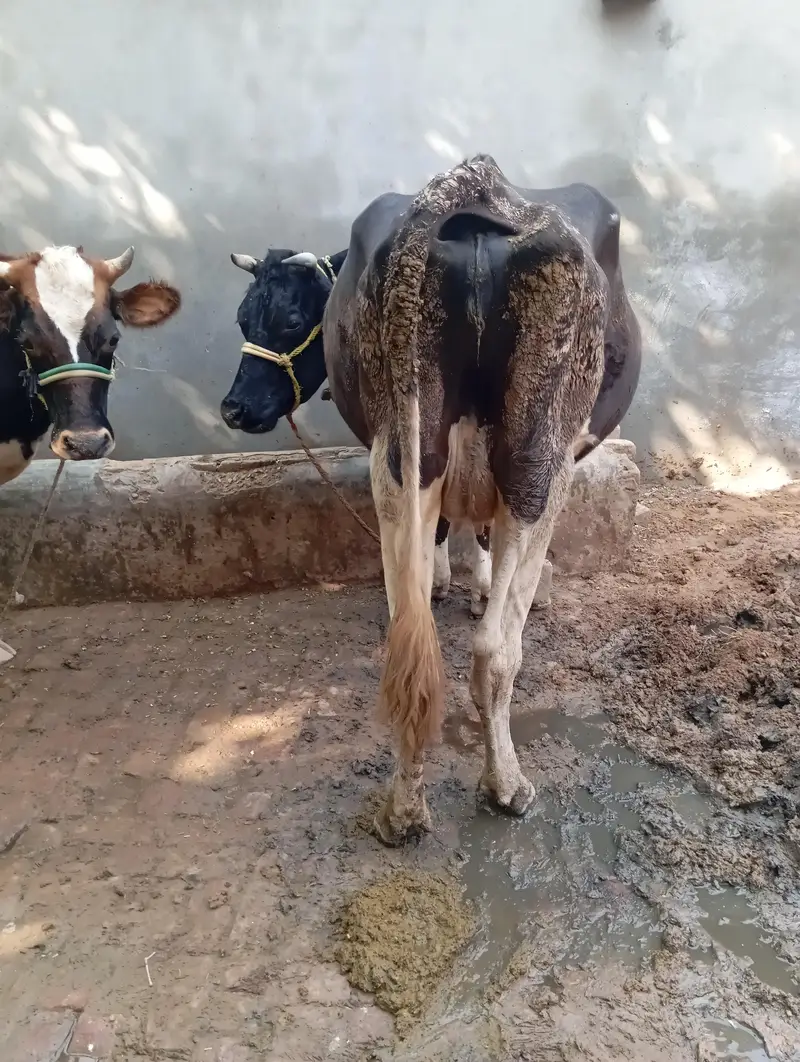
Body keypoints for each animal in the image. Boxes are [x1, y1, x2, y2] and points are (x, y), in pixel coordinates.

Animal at [222, 155, 641, 845]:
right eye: (242, 319)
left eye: (287, 321)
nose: (233, 408)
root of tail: (477, 184)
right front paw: (472, 585)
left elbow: (452, 528)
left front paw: (456, 580)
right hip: (539, 466)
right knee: (496, 652)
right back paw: (506, 786)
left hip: (397, 454)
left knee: (408, 646)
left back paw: (403, 808)